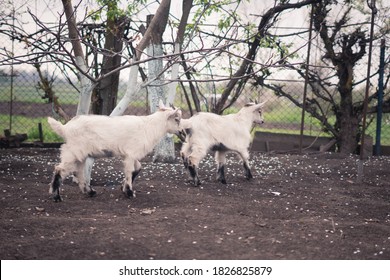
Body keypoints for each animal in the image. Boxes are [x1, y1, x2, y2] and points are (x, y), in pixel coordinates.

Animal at [48, 101, 182, 202]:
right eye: (176, 119)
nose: (182, 132)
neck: (149, 126)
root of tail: (65, 128)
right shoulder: (130, 153)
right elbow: (130, 171)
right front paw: (129, 192)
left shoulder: (130, 155)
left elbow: (138, 168)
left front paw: (123, 188)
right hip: (73, 151)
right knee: (60, 169)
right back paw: (56, 197)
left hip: (80, 154)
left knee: (78, 172)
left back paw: (89, 192)